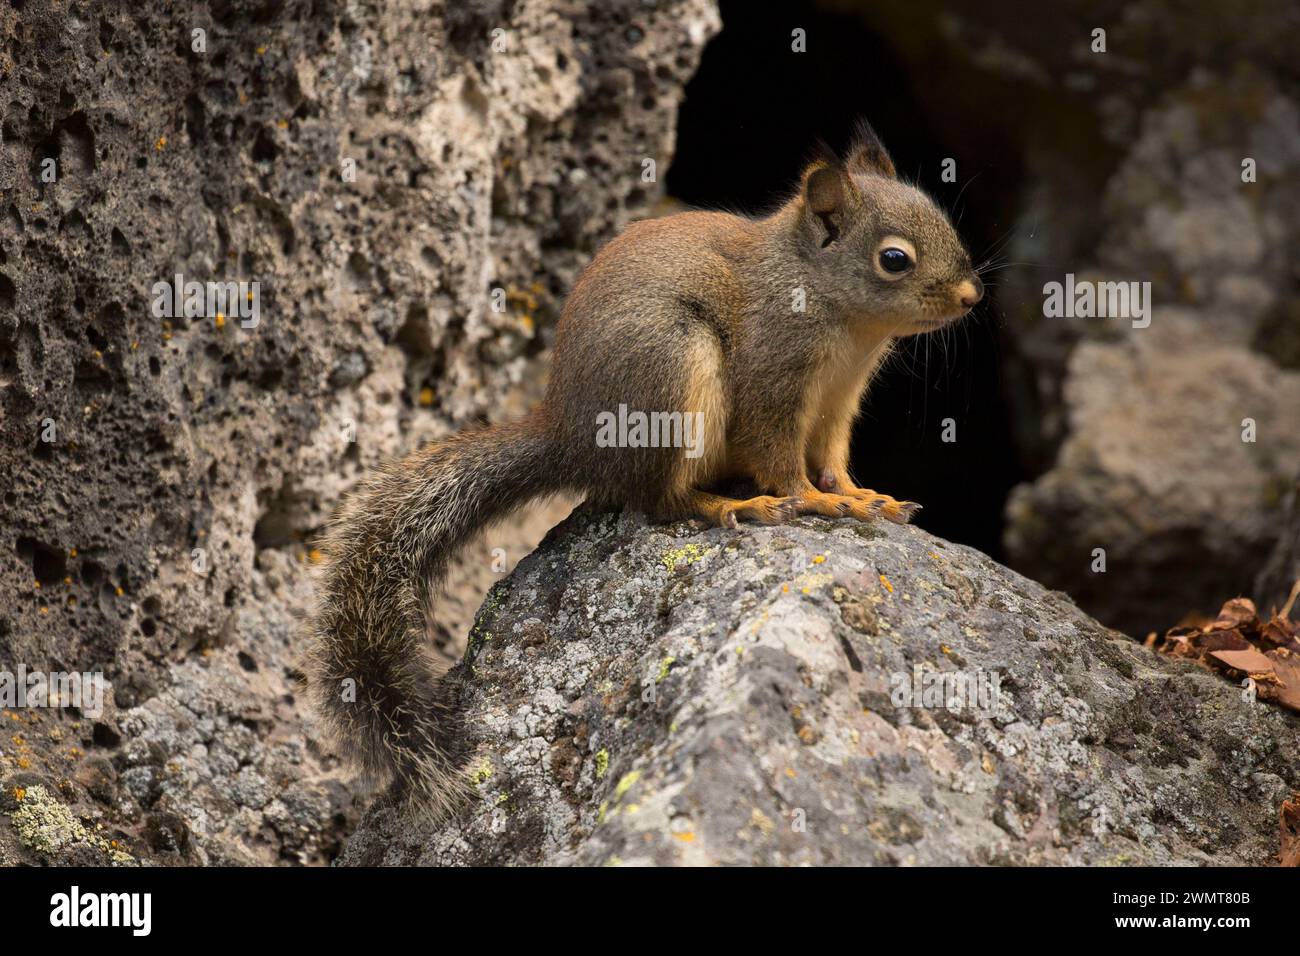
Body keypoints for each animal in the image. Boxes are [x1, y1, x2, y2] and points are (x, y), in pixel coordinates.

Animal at [306, 121, 977, 816]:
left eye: (944, 222)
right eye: (894, 259)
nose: (971, 295)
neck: (838, 316)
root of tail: (570, 436)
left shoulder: (839, 404)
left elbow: (835, 461)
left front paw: (864, 496)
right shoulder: (773, 380)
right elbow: (780, 459)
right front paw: (814, 501)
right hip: (673, 375)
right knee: (659, 500)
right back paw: (733, 506)